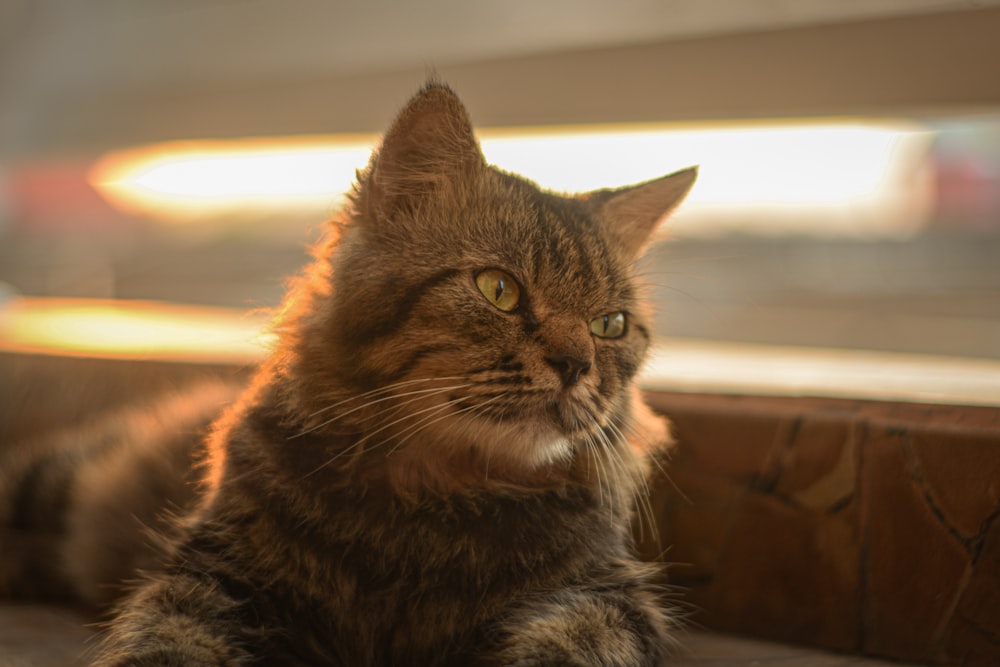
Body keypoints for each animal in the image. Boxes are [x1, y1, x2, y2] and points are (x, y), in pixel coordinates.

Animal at [1, 85, 696, 667]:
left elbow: (569, 649)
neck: (433, 505)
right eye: (498, 289)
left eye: (610, 324)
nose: (577, 366)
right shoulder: (210, 579)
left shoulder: (603, 597)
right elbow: (167, 646)